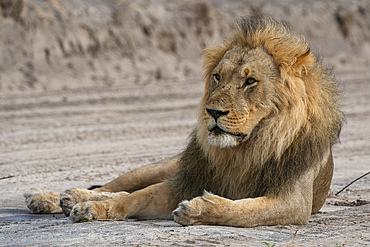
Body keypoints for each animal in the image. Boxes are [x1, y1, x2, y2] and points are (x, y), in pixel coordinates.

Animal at [23, 15, 344, 228]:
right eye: (217, 77)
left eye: (250, 81)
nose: (213, 112)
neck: (244, 150)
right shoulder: (185, 180)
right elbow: (136, 197)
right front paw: (91, 207)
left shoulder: (293, 203)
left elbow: (244, 211)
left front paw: (199, 210)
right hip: (165, 166)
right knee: (119, 185)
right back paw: (54, 197)